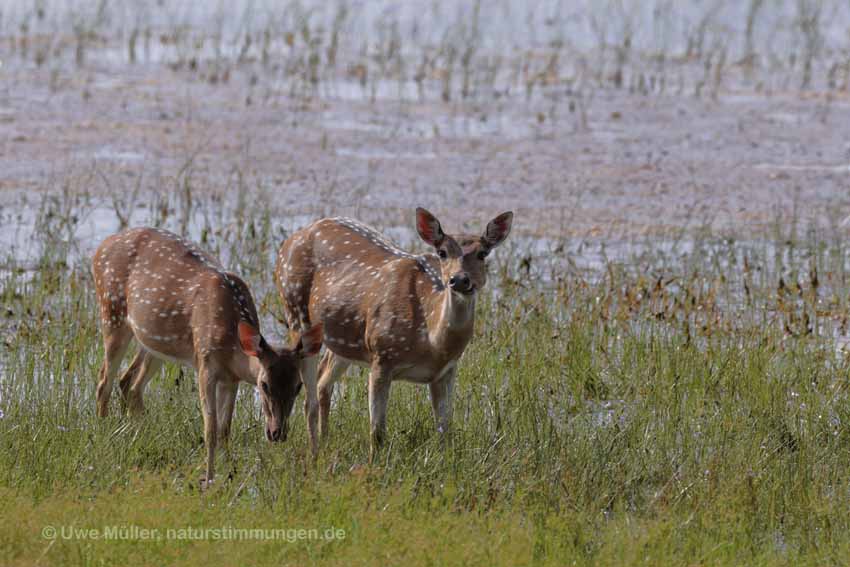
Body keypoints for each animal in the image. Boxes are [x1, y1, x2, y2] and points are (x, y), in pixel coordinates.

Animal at [91, 226, 320, 484]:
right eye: (264, 385)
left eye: (298, 386)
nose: (277, 433)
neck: (231, 343)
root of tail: (101, 248)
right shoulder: (205, 364)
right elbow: (210, 429)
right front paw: (208, 479)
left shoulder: (231, 378)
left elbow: (225, 430)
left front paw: (230, 473)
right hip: (111, 312)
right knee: (104, 381)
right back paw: (103, 433)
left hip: (153, 342)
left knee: (130, 382)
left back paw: (137, 434)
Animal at [276, 209, 510, 462]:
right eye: (442, 252)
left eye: (483, 253)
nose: (459, 279)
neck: (432, 343)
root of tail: (291, 239)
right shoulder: (382, 355)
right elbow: (377, 432)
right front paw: (374, 465)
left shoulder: (447, 370)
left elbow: (445, 429)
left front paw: (446, 462)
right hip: (295, 312)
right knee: (308, 400)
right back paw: (315, 455)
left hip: (343, 338)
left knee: (323, 381)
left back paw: (326, 443)